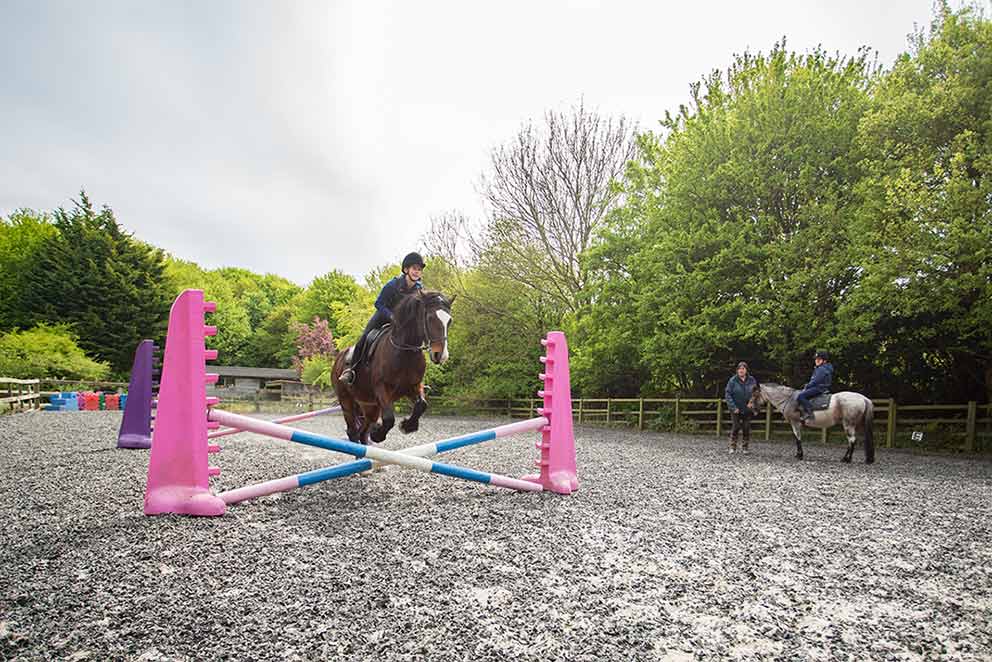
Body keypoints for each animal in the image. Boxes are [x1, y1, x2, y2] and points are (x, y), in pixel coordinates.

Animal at [336, 292, 456, 444]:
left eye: (449, 321)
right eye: (430, 318)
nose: (441, 355)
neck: (405, 353)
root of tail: (339, 356)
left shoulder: (413, 387)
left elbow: (422, 405)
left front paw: (408, 426)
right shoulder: (381, 388)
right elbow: (389, 419)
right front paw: (378, 434)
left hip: (369, 406)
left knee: (362, 432)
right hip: (347, 402)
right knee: (353, 431)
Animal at [748, 384, 880, 466]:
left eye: (755, 394)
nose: (749, 406)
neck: (788, 400)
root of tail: (864, 398)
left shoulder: (795, 423)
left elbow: (798, 438)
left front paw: (799, 455)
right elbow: (797, 438)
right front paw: (799, 454)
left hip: (848, 424)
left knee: (852, 440)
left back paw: (846, 459)